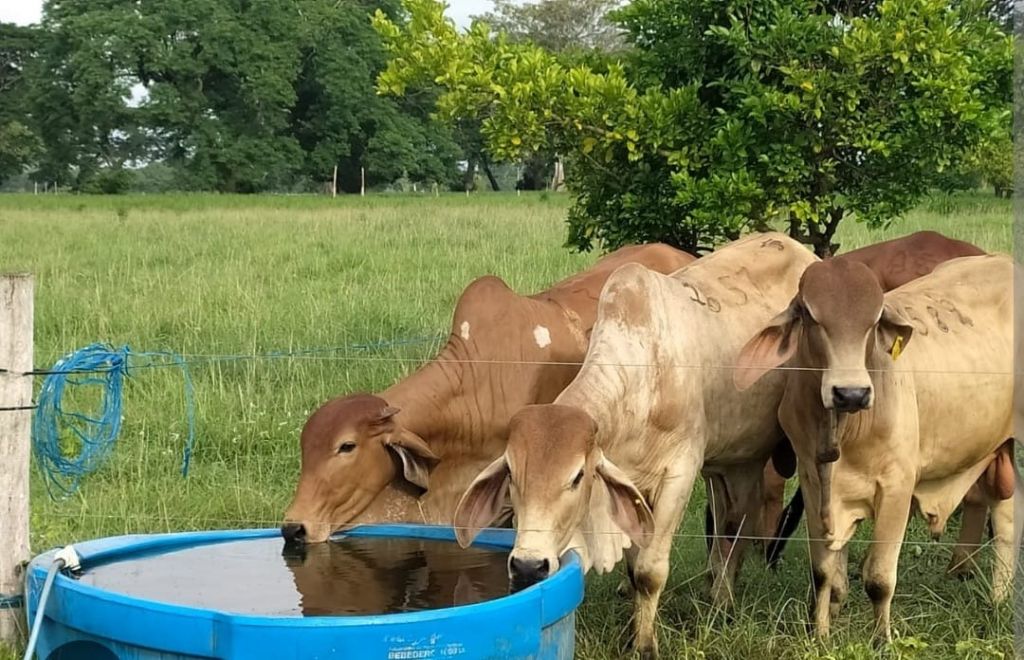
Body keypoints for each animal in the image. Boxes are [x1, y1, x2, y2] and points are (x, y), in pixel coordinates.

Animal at [452, 233, 819, 658]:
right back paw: (717, 598)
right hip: (733, 460)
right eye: (511, 473)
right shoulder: (627, 482)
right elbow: (632, 565)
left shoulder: (680, 470)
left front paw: (644, 645)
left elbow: (648, 571)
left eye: (576, 477)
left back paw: (722, 605)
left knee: (736, 529)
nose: (528, 567)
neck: (642, 376)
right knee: (731, 524)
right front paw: (633, 632)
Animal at [737, 250, 1015, 638]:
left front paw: (880, 639)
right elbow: (824, 575)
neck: (841, 431)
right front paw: (820, 635)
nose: (851, 393)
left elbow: (879, 580)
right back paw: (998, 600)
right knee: (1007, 512)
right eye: (810, 314)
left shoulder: (896, 488)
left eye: (874, 320)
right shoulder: (812, 483)